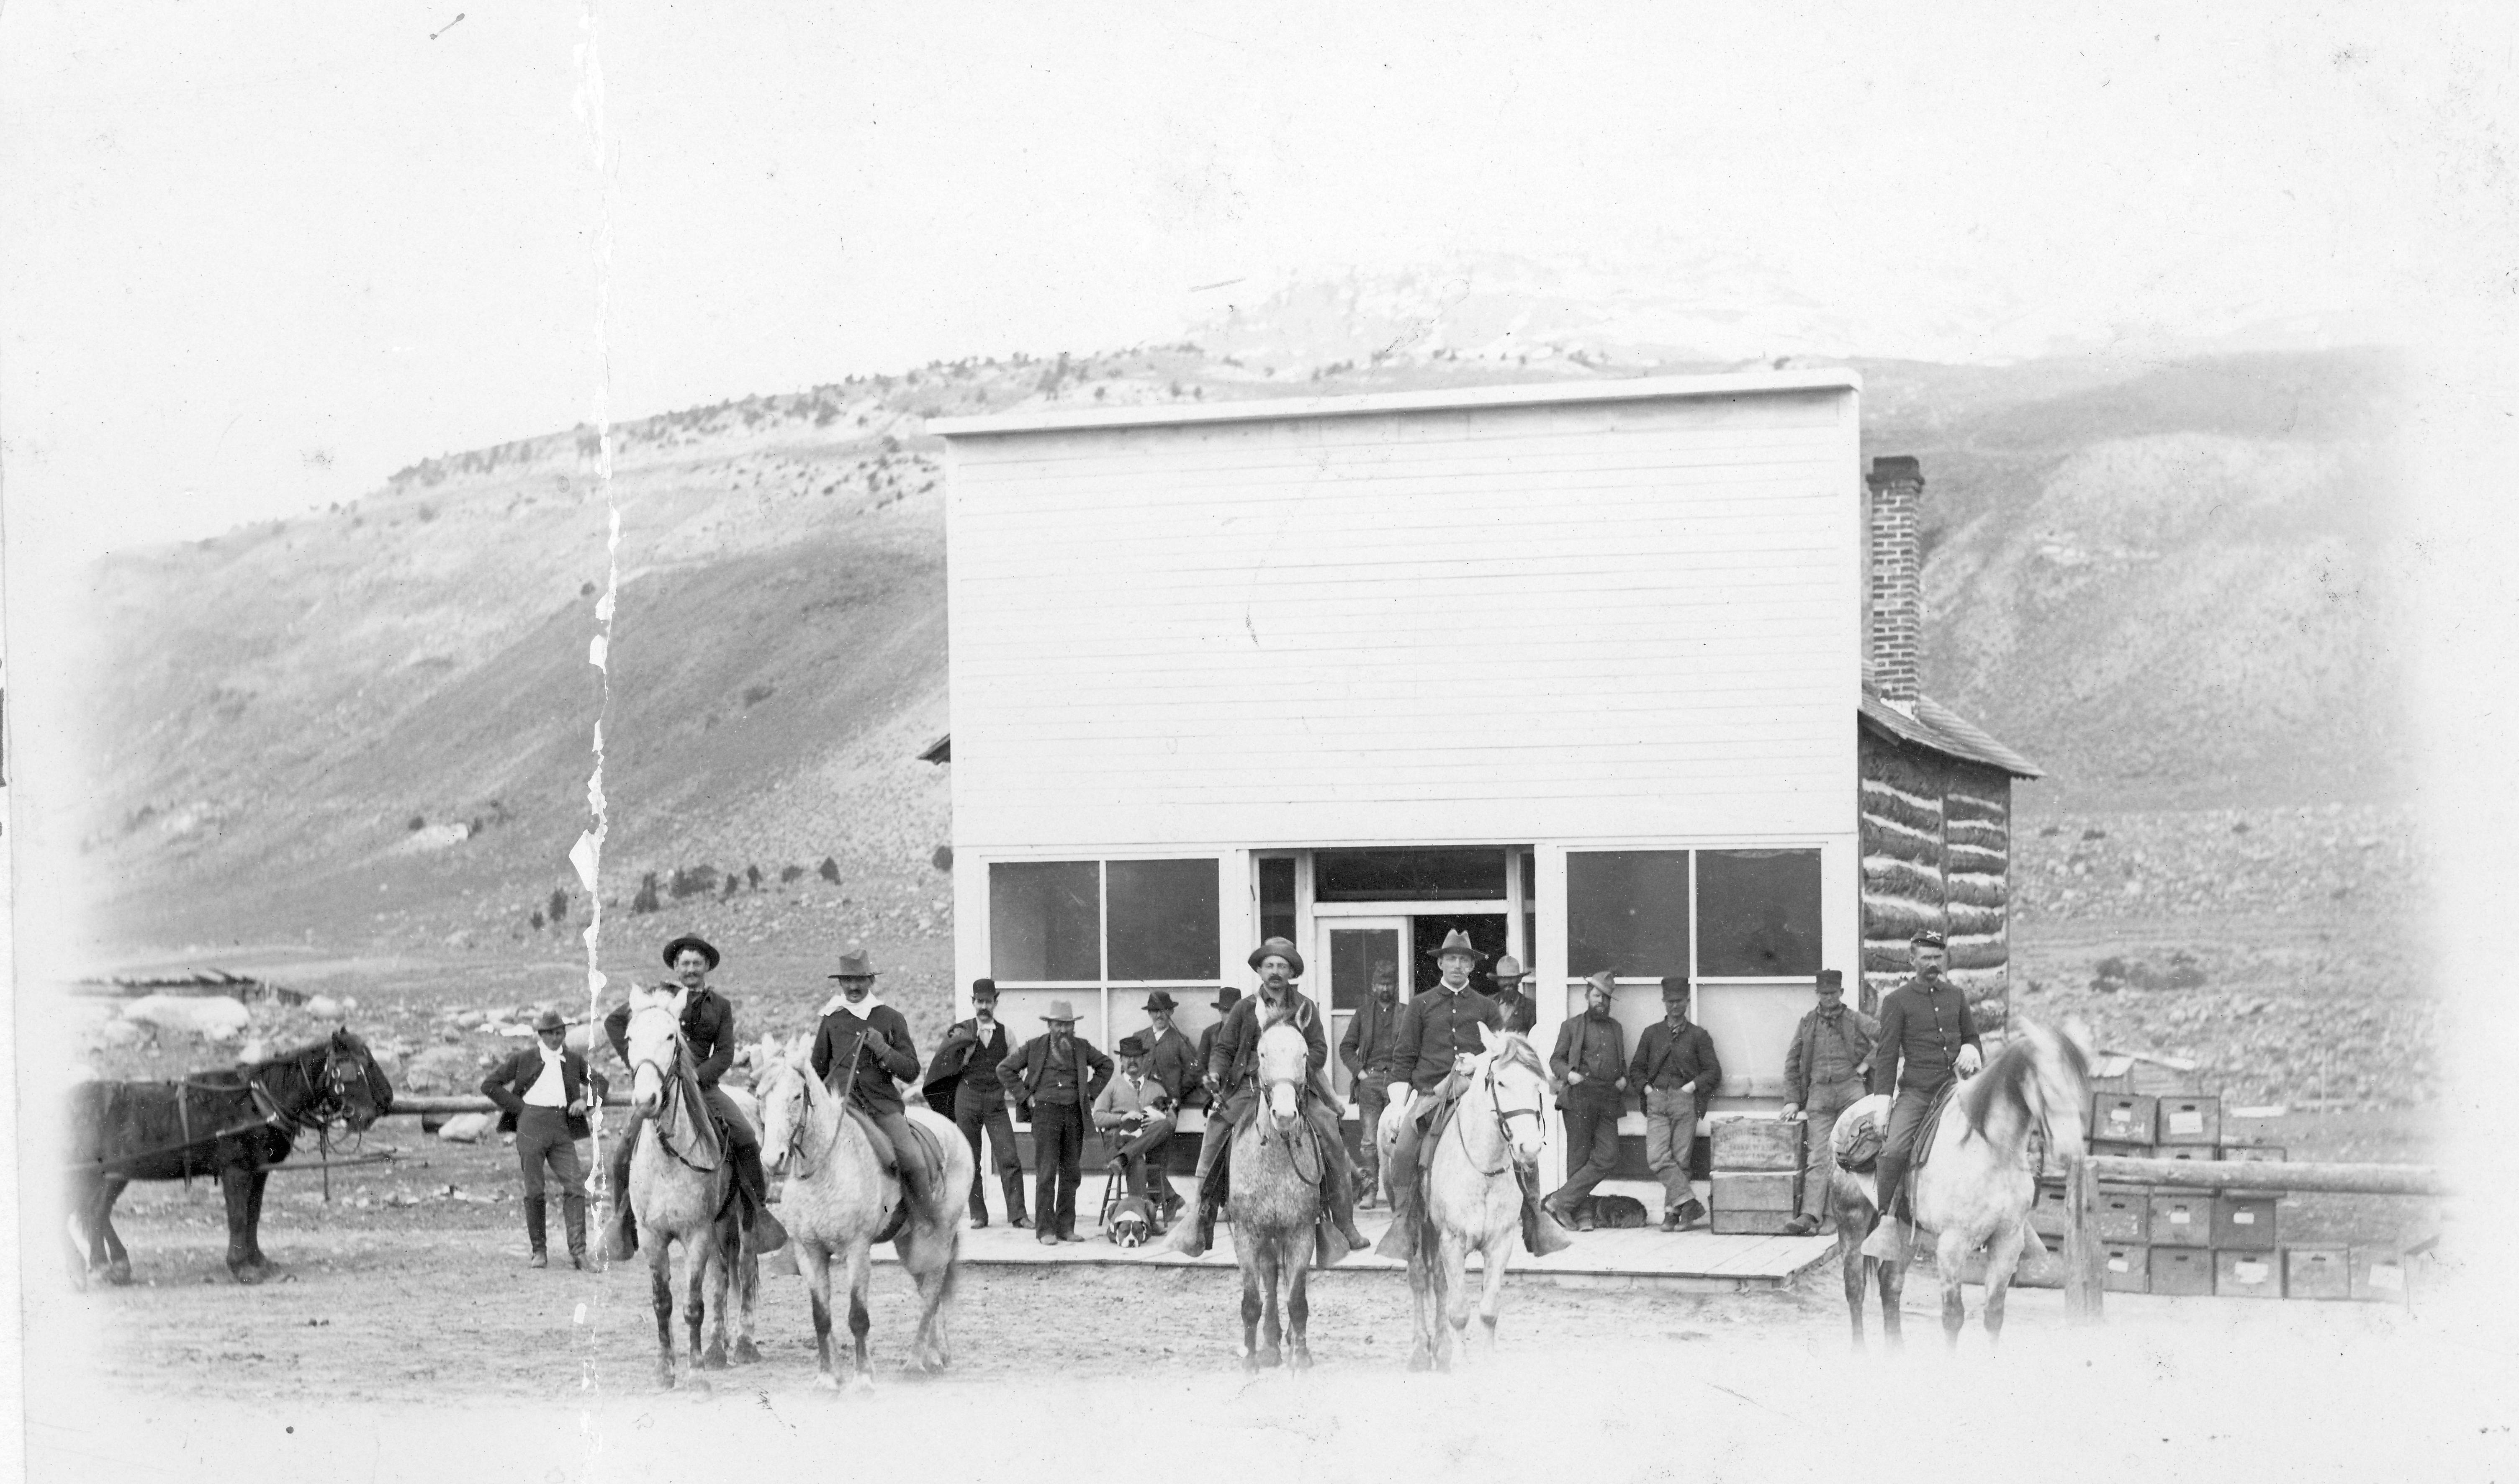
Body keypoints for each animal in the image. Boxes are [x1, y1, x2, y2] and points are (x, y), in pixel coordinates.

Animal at [65, 1028, 393, 1285]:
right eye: (359, 1067)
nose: (385, 1102)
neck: (259, 1102)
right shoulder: (236, 1170)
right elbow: (237, 1216)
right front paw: (242, 1268)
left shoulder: (259, 1170)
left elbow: (252, 1215)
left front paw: (259, 1261)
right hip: (103, 1174)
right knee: (93, 1212)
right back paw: (97, 1268)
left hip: (107, 1176)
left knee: (95, 1212)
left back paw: (110, 1265)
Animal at [751, 1038, 967, 1381]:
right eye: (760, 1096)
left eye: (797, 1096)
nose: (773, 1159)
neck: (825, 1167)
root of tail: (953, 1130)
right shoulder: (809, 1251)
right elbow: (821, 1317)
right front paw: (828, 1377)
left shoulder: (857, 1249)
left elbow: (858, 1317)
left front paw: (863, 1377)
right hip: (909, 1242)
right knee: (927, 1289)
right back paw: (936, 1355)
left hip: (938, 1236)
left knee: (933, 1290)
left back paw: (915, 1362)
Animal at [1380, 1023, 1552, 1371]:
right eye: (1501, 1081)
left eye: (1536, 1083)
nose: (1528, 1148)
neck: (1482, 1168)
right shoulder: (1453, 1240)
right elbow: (1459, 1312)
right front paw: (1461, 1365)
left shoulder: (1500, 1243)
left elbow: (1488, 1310)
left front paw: (1486, 1363)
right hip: (1415, 1226)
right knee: (1419, 1279)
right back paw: (1421, 1353)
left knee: (1439, 1283)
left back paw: (1441, 1350)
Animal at [1834, 1018, 2085, 1340]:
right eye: (2048, 1082)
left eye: (2081, 1081)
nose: (2072, 1149)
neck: (1991, 1153)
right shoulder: (1953, 1245)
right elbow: (1953, 1317)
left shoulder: (2007, 1242)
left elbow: (1994, 1315)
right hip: (1851, 1219)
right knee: (1855, 1287)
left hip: (1904, 1229)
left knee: (1890, 1283)